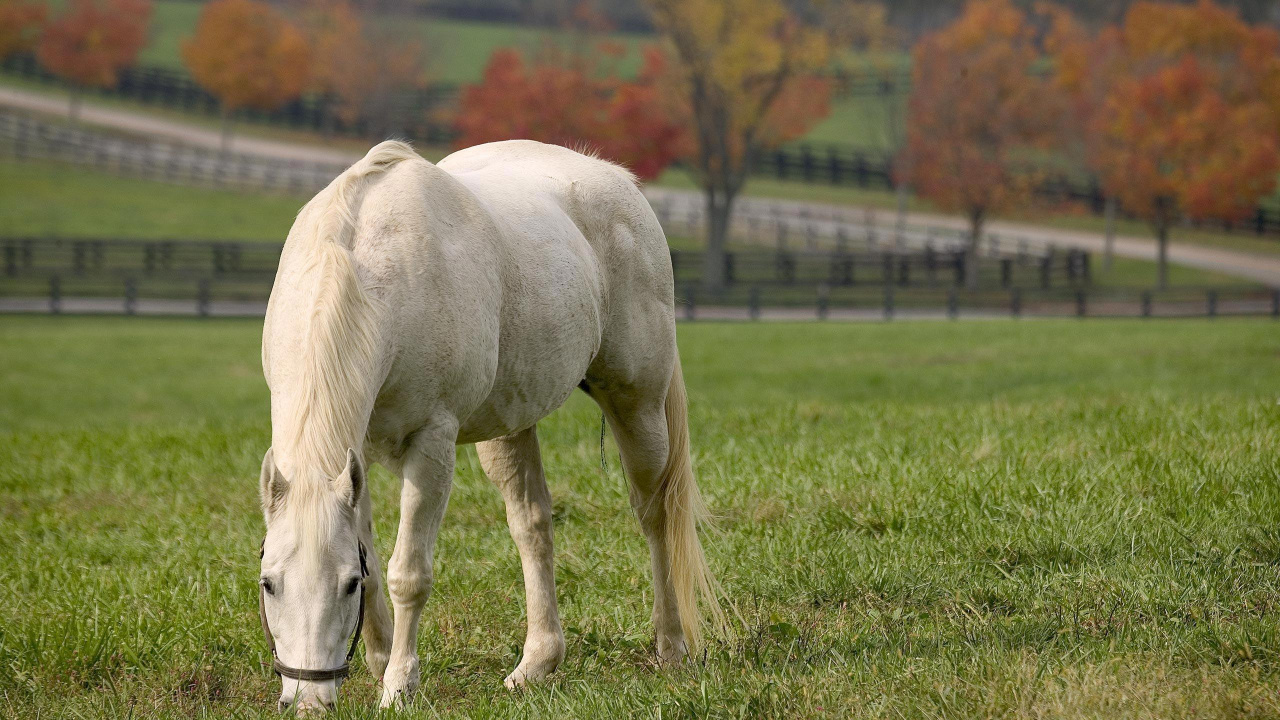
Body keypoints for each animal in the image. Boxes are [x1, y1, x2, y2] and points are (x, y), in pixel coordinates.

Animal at [258, 139, 721, 712]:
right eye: (268, 584)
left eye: (345, 586)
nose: (307, 701)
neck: (367, 269)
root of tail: (618, 180)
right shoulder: (354, 454)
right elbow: (375, 555)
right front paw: (380, 662)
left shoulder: (432, 445)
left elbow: (408, 573)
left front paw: (399, 686)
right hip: (510, 426)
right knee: (533, 525)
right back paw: (537, 663)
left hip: (638, 405)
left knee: (656, 515)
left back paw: (671, 645)